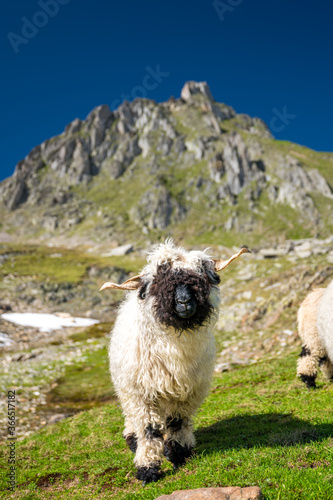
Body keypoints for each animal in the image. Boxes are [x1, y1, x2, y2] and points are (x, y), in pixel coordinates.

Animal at [98, 240, 249, 482]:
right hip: (126, 388)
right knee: (132, 417)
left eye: (201, 276)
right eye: (158, 281)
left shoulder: (188, 391)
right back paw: (132, 439)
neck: (174, 349)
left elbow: (177, 422)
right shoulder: (141, 393)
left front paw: (178, 453)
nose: (184, 301)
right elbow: (149, 429)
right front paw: (148, 468)